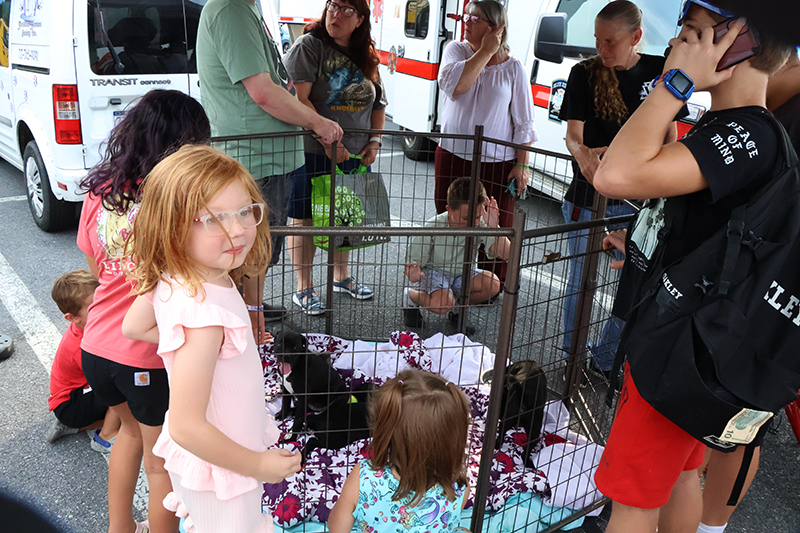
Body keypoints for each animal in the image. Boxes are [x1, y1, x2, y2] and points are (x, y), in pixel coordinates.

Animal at [273, 330, 371, 460]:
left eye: (295, 347)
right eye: (279, 344)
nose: (286, 356)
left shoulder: (303, 396)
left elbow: (298, 416)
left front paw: (293, 433)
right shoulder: (286, 389)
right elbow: (286, 403)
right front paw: (282, 414)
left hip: (338, 400)